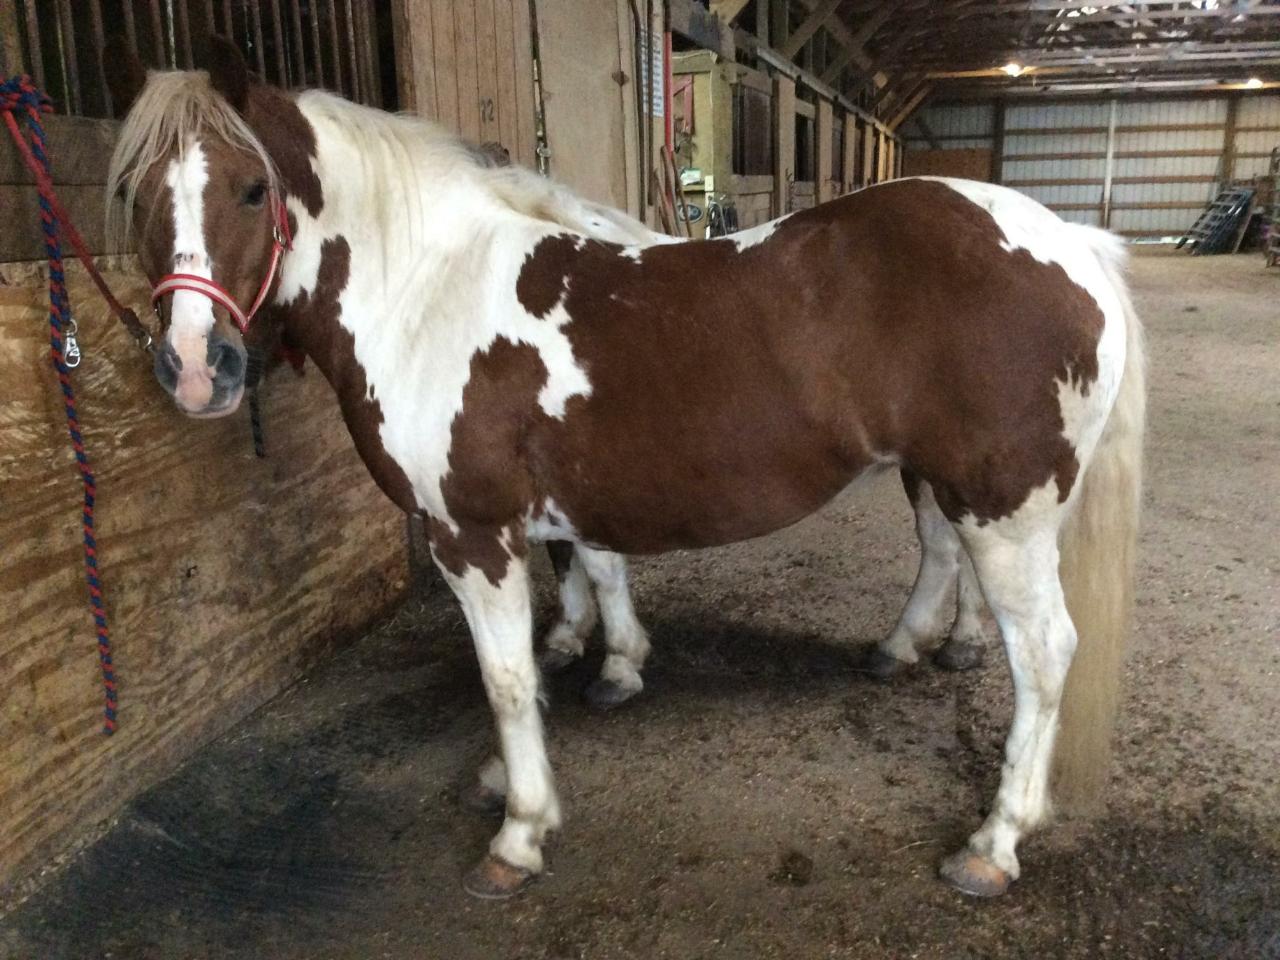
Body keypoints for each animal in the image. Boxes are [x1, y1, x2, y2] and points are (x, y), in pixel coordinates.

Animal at [104, 38, 1144, 902]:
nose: (195, 367)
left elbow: (507, 675)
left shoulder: (470, 536)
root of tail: (1073, 245)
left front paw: (520, 830)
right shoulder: (551, 512)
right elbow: (572, 604)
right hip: (955, 488)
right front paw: (578, 697)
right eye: (135, 197)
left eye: (251, 189)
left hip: (1007, 512)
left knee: (1043, 651)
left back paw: (994, 842)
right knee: (954, 566)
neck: (428, 290)